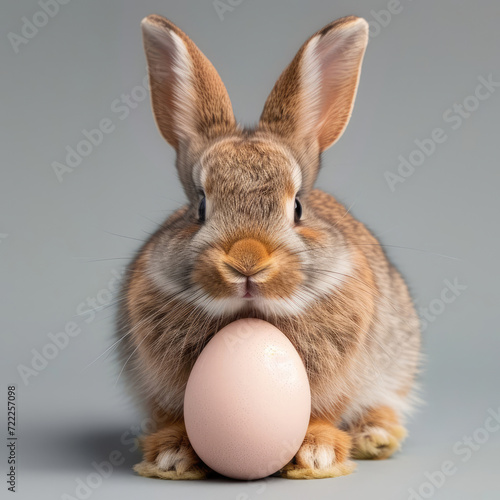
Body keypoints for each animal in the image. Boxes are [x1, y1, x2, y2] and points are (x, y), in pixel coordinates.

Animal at [118, 13, 422, 478]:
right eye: (199, 206)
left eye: (297, 207)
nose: (247, 261)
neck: (250, 316)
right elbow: (172, 416)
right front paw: (173, 456)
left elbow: (324, 412)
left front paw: (318, 454)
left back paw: (376, 436)